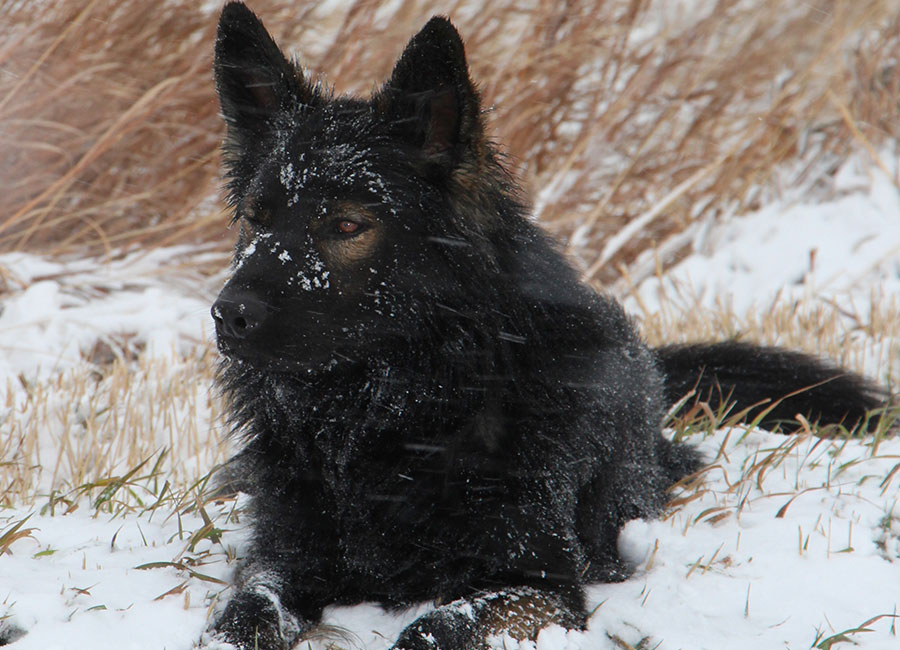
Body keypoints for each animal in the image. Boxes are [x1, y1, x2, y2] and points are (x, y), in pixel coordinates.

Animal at [204, 3, 884, 644]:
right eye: (258, 217)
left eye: (346, 225)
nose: (228, 314)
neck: (394, 409)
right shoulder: (283, 559)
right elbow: (245, 613)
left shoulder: (538, 583)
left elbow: (435, 626)